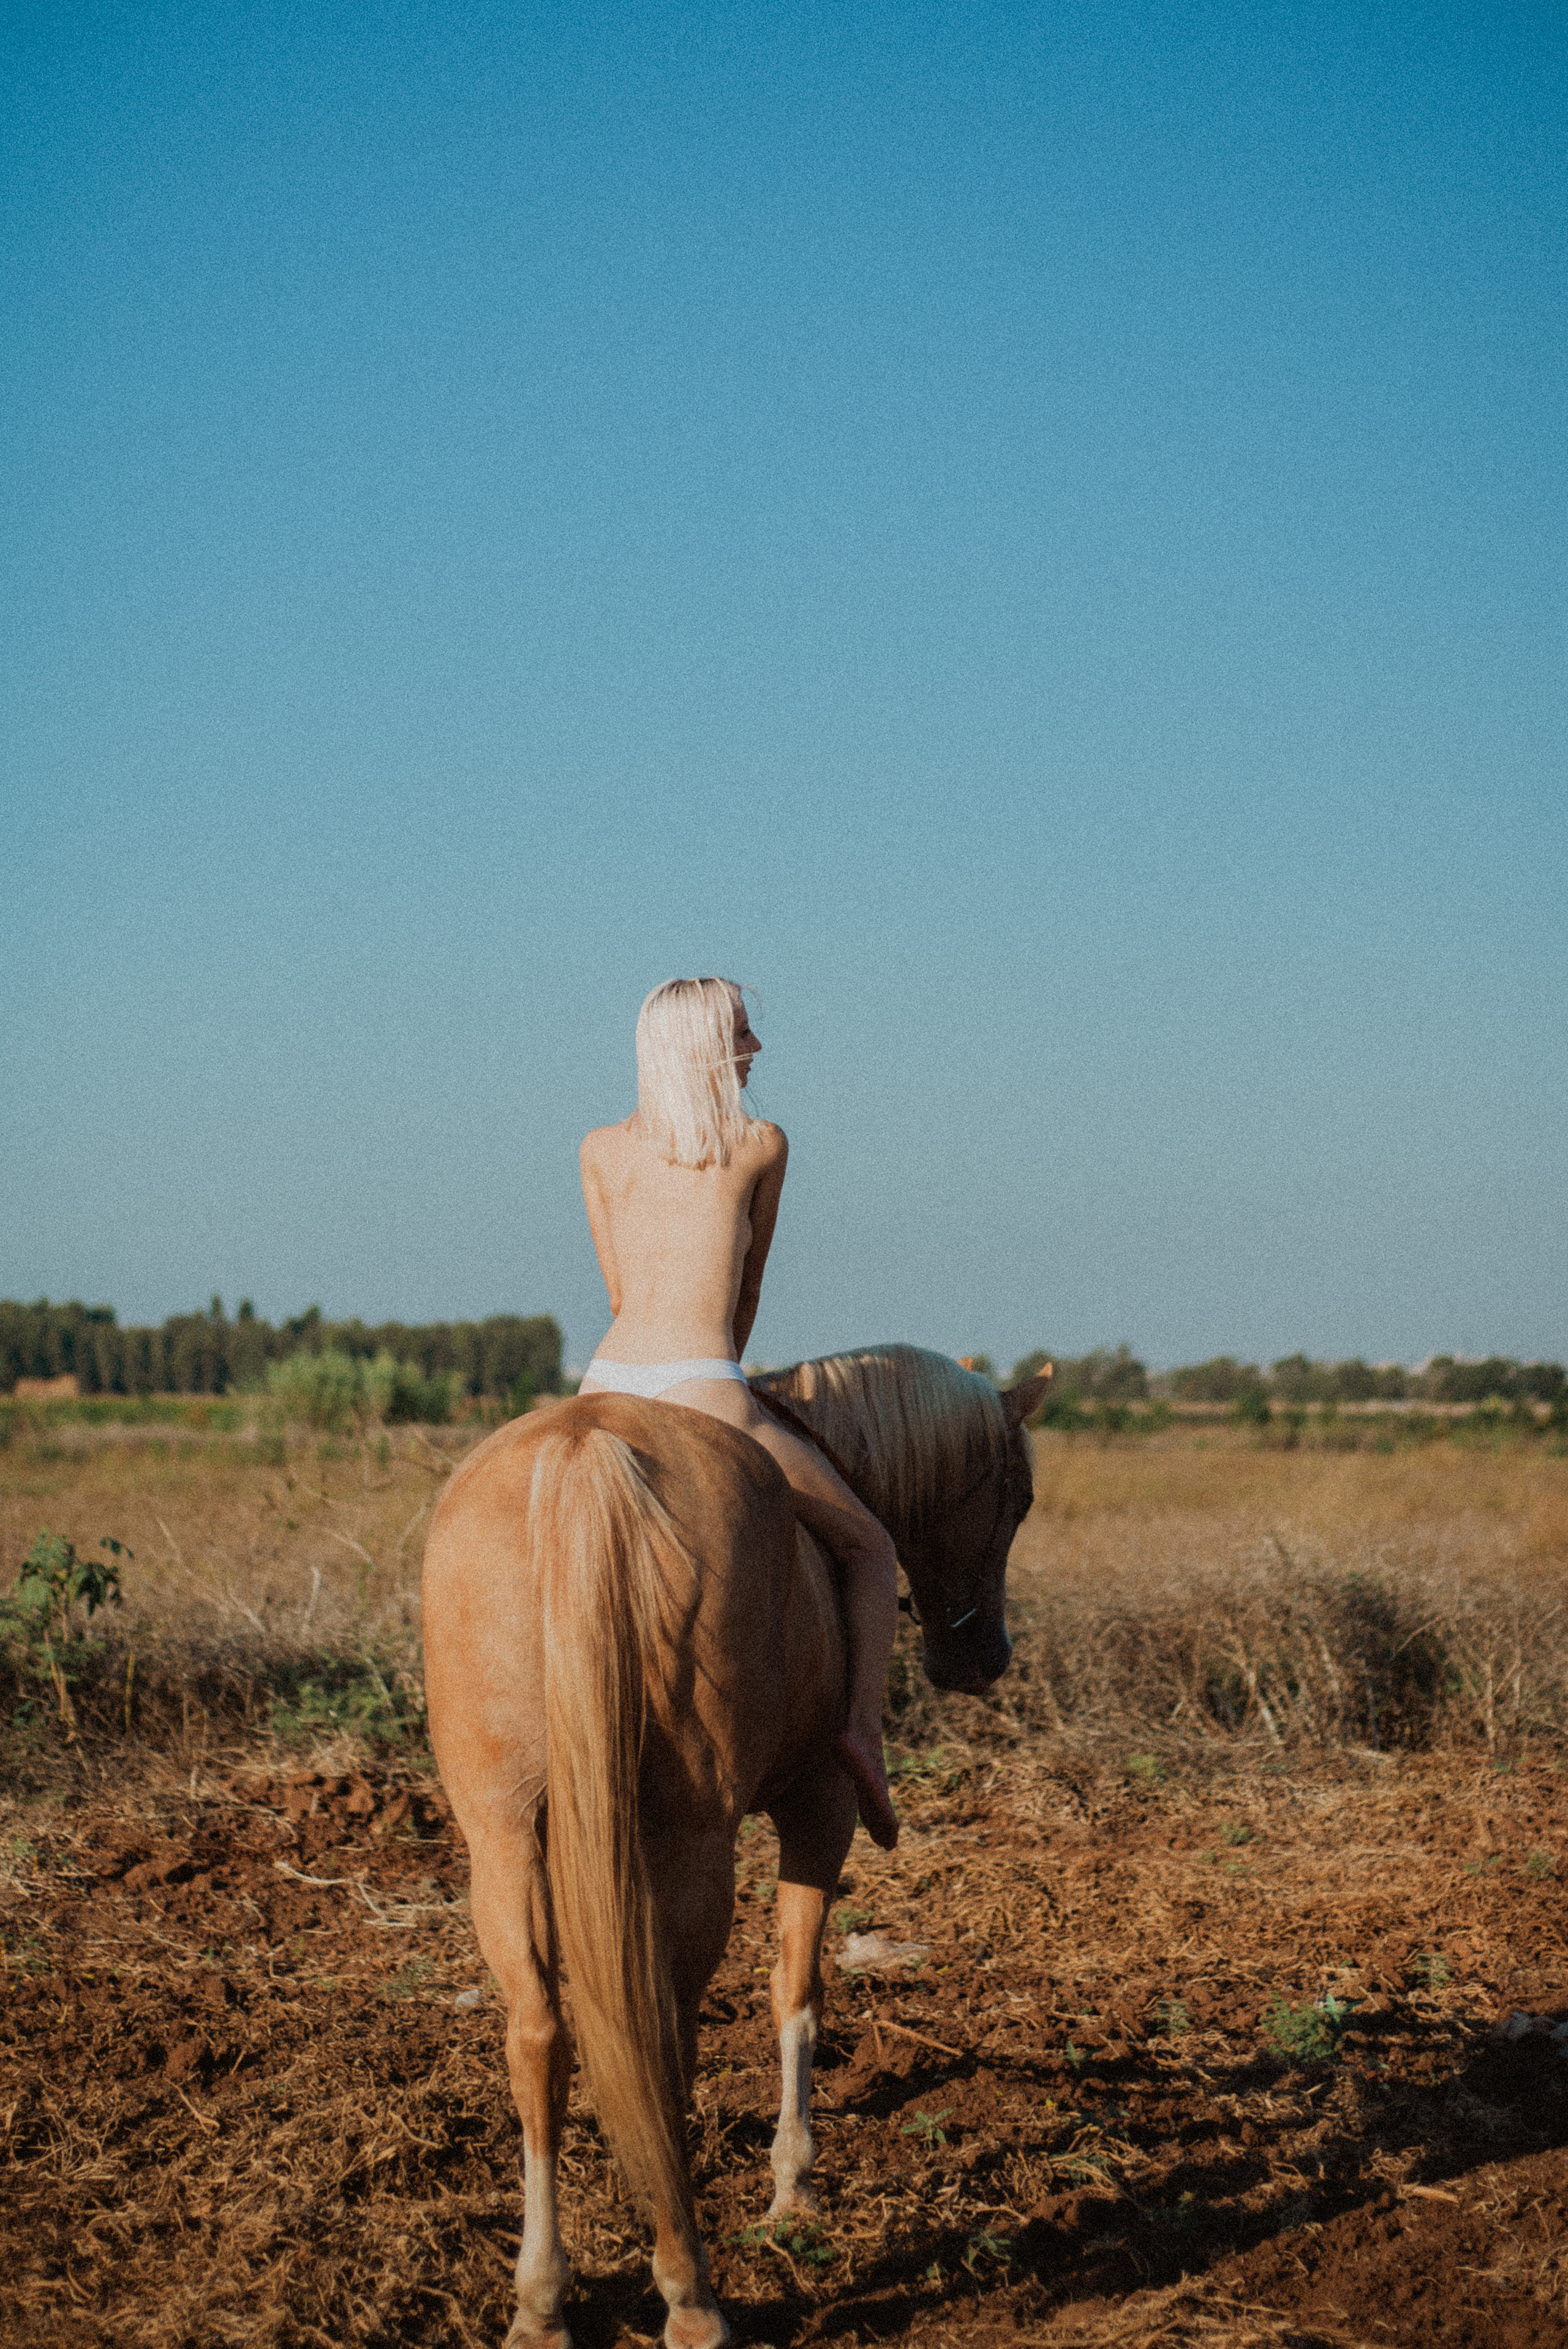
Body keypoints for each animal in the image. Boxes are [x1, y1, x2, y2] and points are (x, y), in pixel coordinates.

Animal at [422, 1342, 1053, 2349]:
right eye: (1019, 1497)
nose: (984, 1657)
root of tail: (584, 1450)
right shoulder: (819, 1807)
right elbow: (797, 1990)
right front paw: (793, 2183)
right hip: (699, 1838)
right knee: (666, 2035)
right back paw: (690, 2293)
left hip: (503, 1838)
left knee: (542, 2038)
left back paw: (543, 2300)